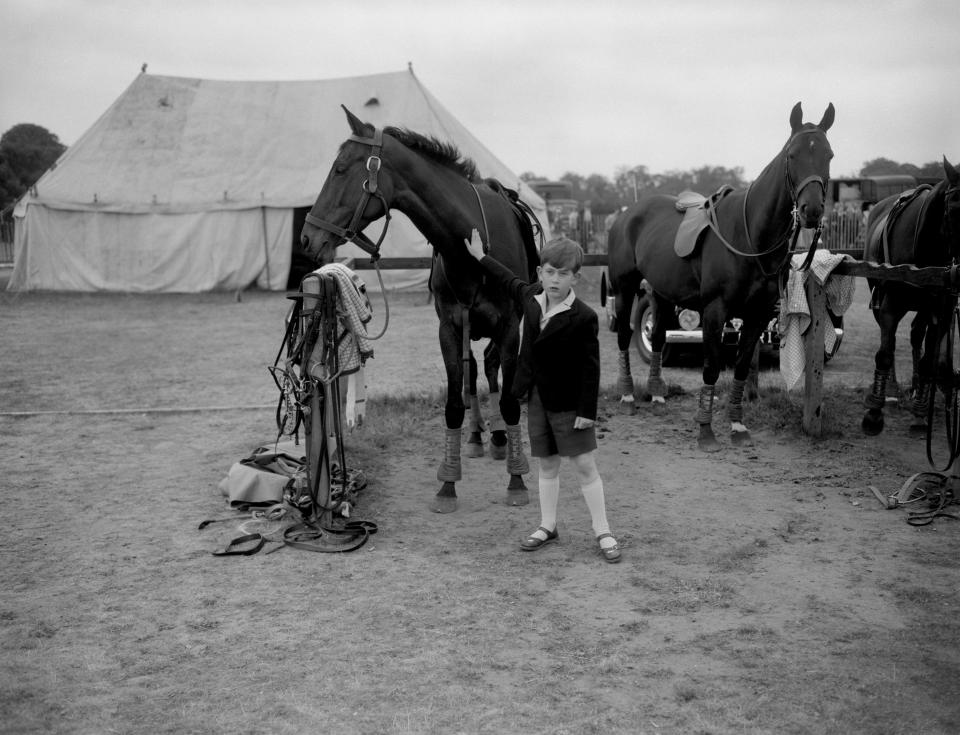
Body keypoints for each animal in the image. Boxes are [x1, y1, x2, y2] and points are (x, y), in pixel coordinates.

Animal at [300, 106, 540, 516]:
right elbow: (454, 404)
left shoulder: (510, 325)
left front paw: (517, 479)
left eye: (341, 170)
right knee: (473, 373)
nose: (307, 238)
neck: (470, 242)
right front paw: (448, 483)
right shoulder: (449, 329)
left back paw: (497, 438)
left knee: (490, 367)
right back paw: (478, 437)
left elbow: (509, 402)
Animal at [608, 101, 832, 452]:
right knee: (622, 335)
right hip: (625, 287)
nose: (812, 211)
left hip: (660, 293)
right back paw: (628, 395)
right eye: (792, 155)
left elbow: (740, 366)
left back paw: (656, 395)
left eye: (829, 155)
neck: (750, 234)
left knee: (656, 337)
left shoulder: (757, 314)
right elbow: (712, 368)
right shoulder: (715, 310)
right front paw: (705, 430)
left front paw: (738, 425)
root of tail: (626, 214)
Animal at [864, 157, 960, 436]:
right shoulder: (890, 307)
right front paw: (874, 412)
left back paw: (918, 387)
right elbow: (885, 352)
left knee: (917, 335)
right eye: (955, 207)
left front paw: (919, 413)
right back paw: (892, 389)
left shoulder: (942, 311)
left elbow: (929, 360)